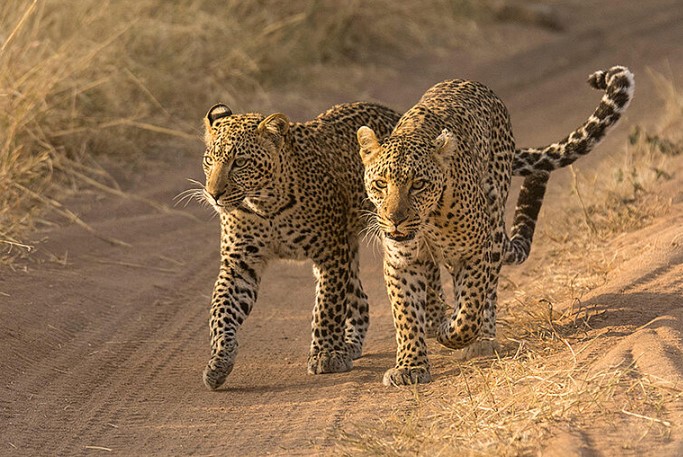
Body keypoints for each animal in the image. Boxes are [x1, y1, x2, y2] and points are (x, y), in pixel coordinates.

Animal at [358, 65, 636, 384]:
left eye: (418, 185)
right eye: (380, 184)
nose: (395, 219)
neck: (427, 222)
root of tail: (474, 83)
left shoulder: (474, 251)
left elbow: (469, 310)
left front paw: (453, 333)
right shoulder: (401, 260)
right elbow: (405, 315)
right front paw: (410, 366)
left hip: (492, 221)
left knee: (487, 290)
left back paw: (482, 338)